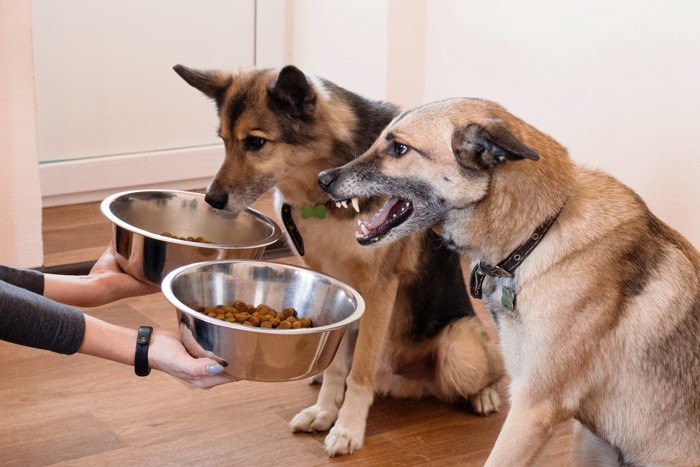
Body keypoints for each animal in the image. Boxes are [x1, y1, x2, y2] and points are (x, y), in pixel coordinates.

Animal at [174, 67, 504, 456]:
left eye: (255, 143)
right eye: (223, 140)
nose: (211, 200)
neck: (321, 194)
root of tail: (404, 382)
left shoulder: (378, 290)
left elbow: (358, 372)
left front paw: (347, 428)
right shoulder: (333, 286)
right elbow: (337, 367)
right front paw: (324, 411)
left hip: (459, 349)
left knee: (490, 372)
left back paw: (484, 395)